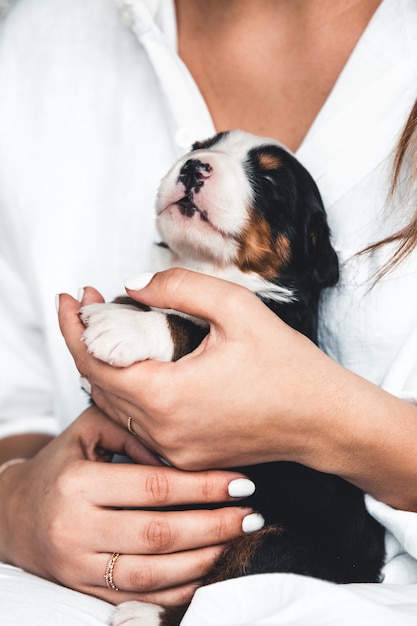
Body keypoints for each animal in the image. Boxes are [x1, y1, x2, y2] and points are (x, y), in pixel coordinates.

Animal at [79, 128, 386, 624]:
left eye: (271, 182)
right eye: (197, 146)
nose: (193, 167)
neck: (210, 270)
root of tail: (367, 568)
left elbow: (189, 326)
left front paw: (122, 325)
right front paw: (124, 305)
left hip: (275, 543)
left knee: (218, 594)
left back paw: (145, 613)